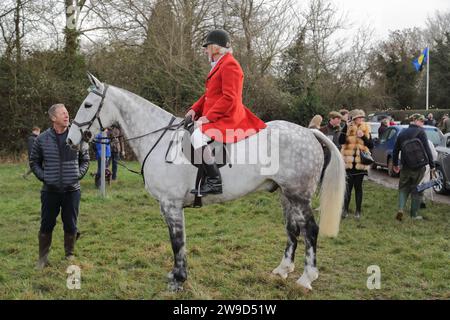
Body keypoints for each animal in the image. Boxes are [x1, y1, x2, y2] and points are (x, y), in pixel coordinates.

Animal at [68, 73, 346, 292]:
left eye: (88, 104)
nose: (71, 140)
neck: (159, 139)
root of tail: (309, 132)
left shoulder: (171, 204)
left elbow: (177, 241)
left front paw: (178, 280)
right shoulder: (168, 206)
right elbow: (177, 242)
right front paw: (176, 275)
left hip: (299, 194)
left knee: (310, 230)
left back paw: (306, 278)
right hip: (285, 194)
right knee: (292, 229)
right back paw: (282, 270)